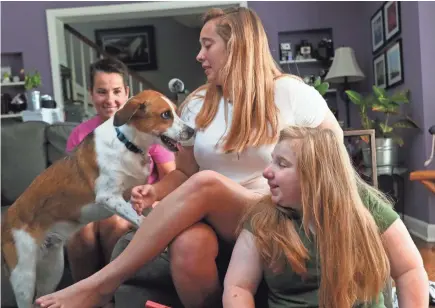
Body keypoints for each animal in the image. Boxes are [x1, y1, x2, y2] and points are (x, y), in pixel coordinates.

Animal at [0, 89, 194, 308]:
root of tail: (7, 218)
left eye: (175, 112)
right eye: (165, 115)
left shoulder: (134, 194)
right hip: (23, 275)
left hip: (53, 268)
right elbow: (142, 219)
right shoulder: (108, 197)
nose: (192, 131)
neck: (127, 143)